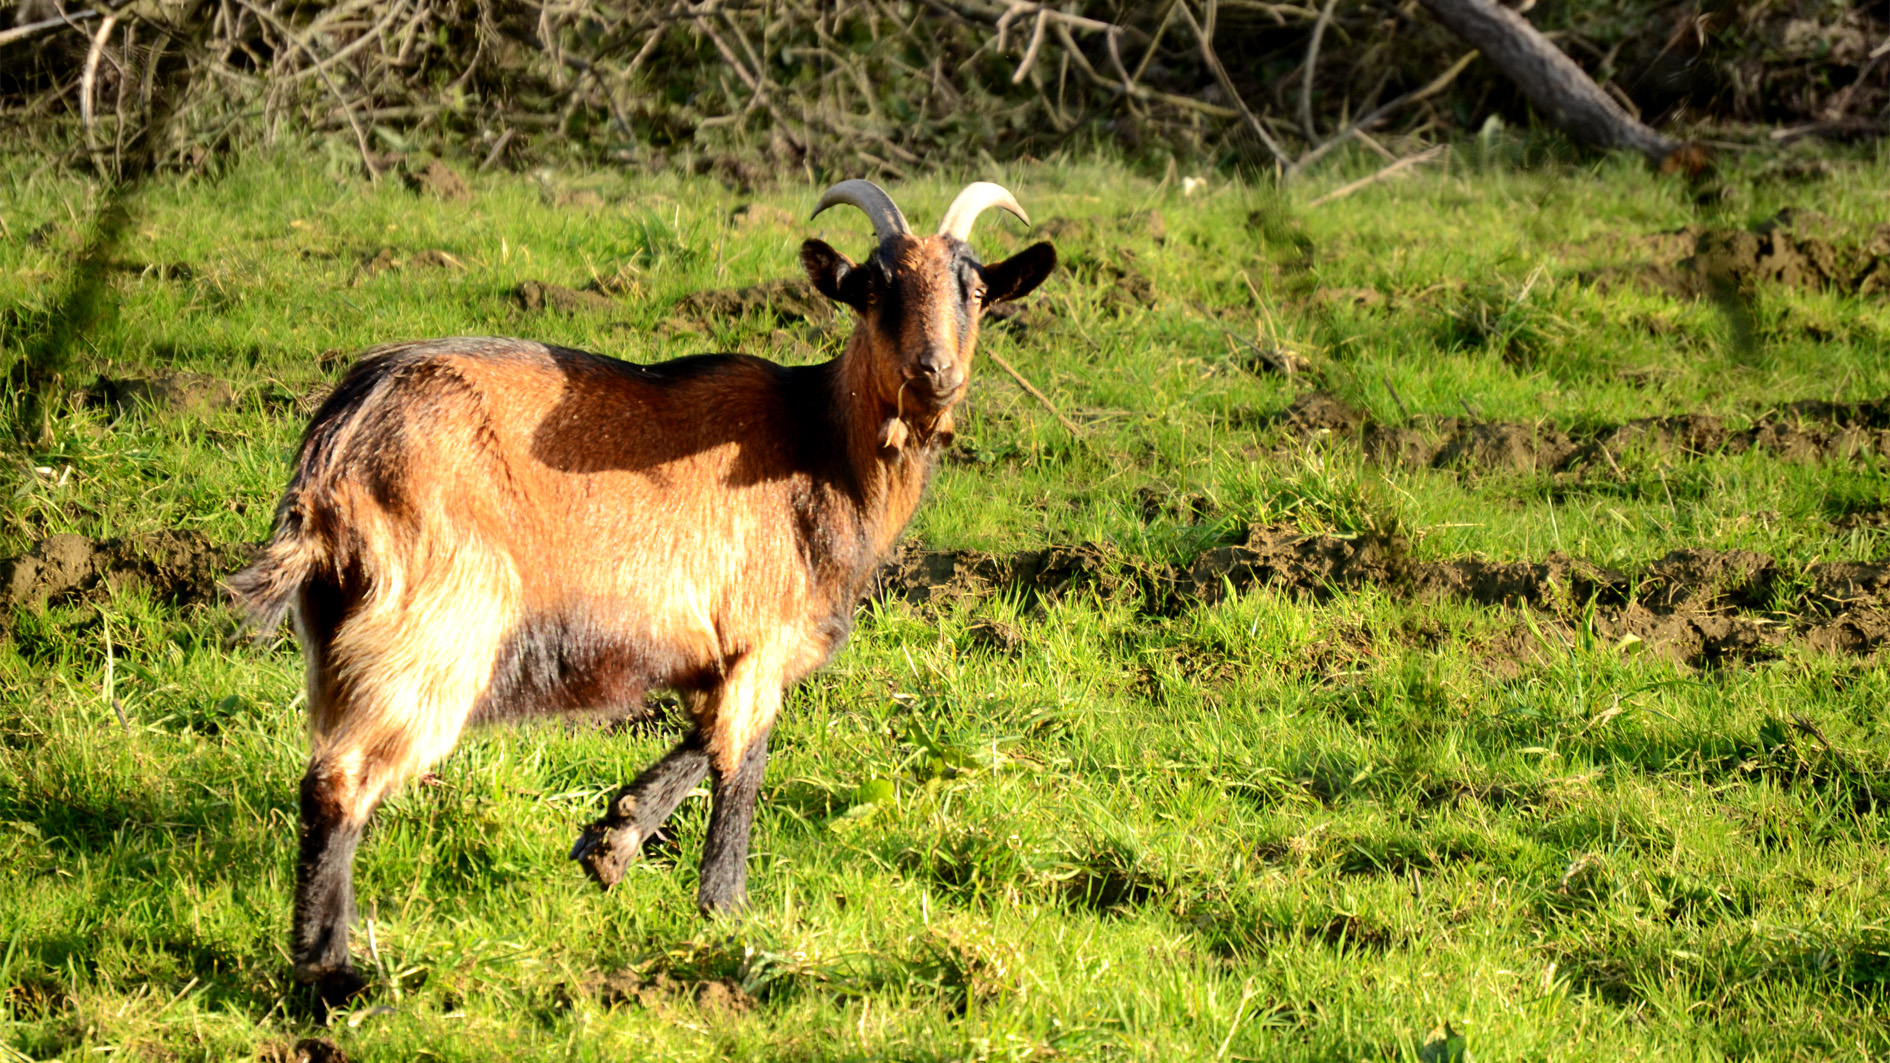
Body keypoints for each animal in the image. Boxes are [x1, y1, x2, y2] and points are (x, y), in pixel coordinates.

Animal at [226, 177, 1058, 998]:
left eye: (974, 289)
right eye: (876, 288)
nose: (933, 373)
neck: (820, 444)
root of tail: (339, 445)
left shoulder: (717, 649)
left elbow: (702, 735)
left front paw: (611, 838)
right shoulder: (761, 637)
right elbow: (742, 762)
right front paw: (726, 914)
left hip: (338, 633)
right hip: (433, 625)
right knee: (340, 779)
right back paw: (330, 973)